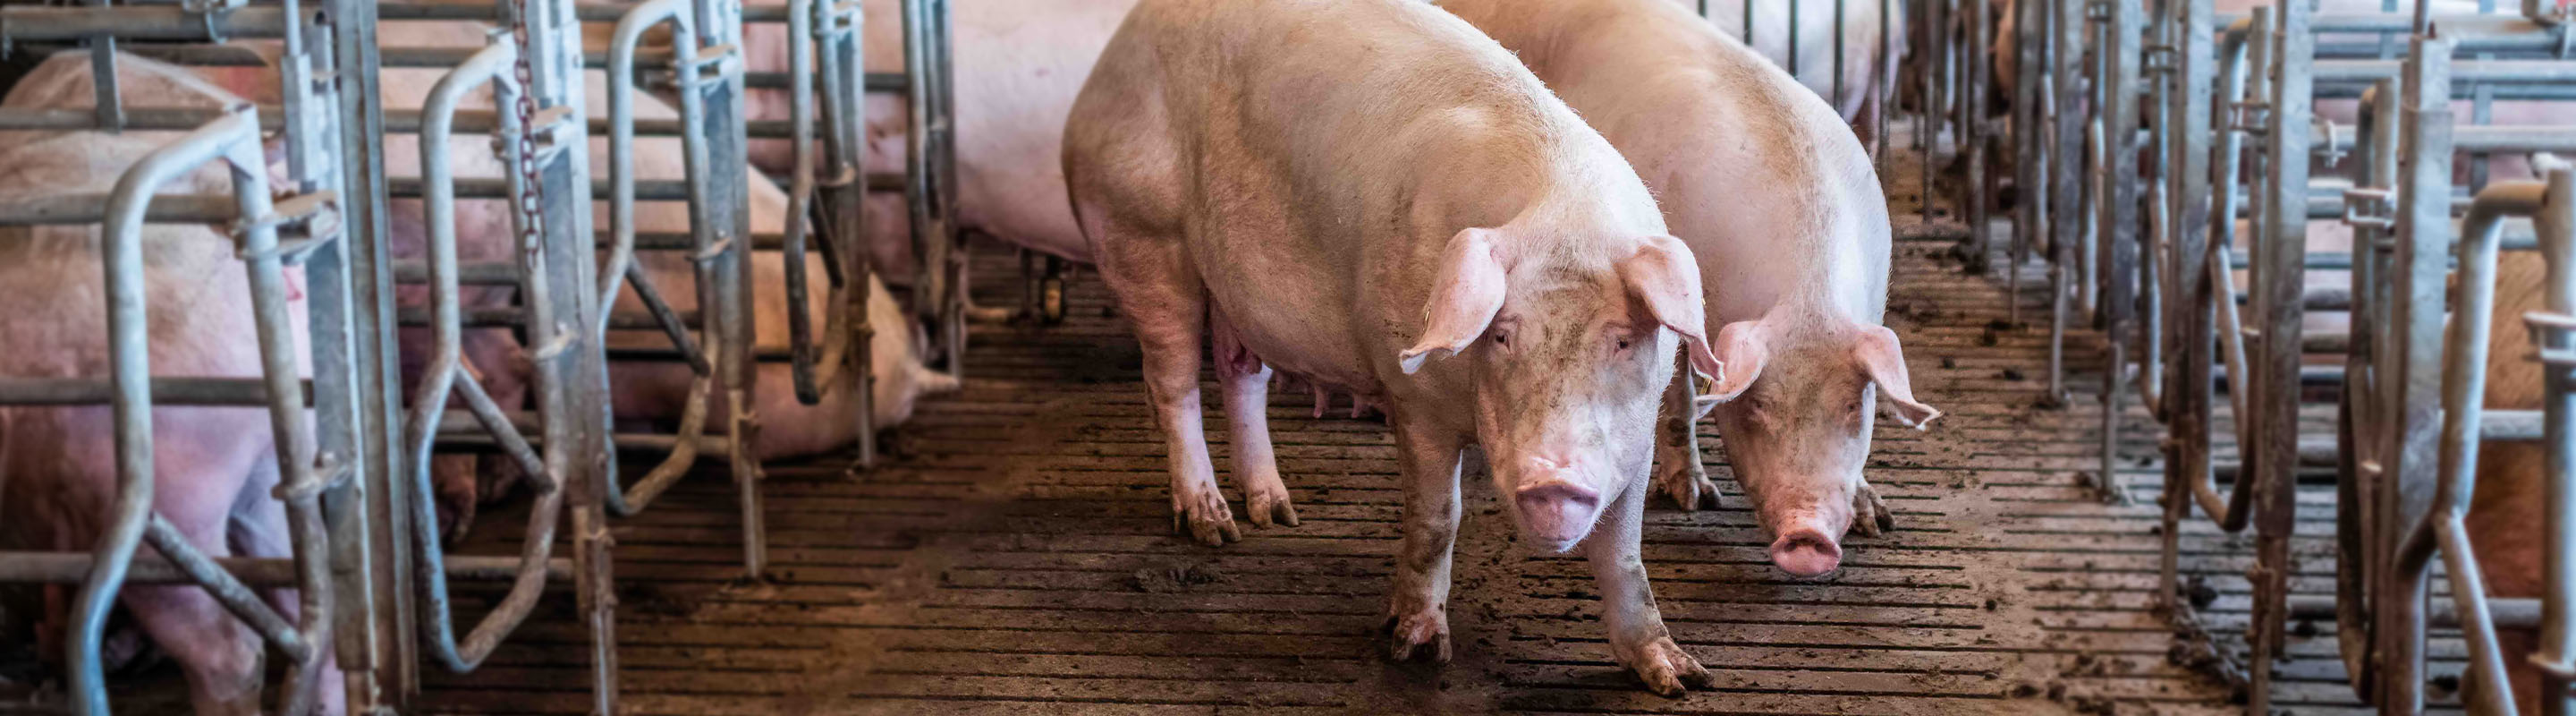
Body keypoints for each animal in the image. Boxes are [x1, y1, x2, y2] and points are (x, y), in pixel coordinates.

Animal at [1065, 0, 1723, 694]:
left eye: (1622, 341)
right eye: (1502, 335)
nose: (1554, 481)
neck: (1566, 220)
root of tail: (1125, 41)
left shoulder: (1638, 434)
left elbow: (1624, 551)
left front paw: (1680, 676)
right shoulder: (1414, 401)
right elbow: (1437, 519)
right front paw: (1416, 649)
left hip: (1230, 289)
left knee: (1241, 375)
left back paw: (1276, 514)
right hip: (1139, 230)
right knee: (1172, 382)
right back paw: (1212, 526)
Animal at [1441, 0, 1938, 578]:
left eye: (1855, 410)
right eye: (1756, 407)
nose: (1808, 537)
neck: (1806, 300)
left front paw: (1876, 521)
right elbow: (1678, 395)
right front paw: (1694, 499)